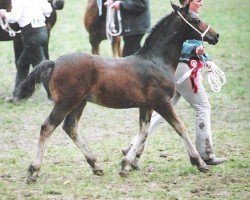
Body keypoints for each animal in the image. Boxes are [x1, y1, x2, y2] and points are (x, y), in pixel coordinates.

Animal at [16, 2, 219, 183]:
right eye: (196, 19)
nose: (215, 35)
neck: (156, 61)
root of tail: (55, 62)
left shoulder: (146, 105)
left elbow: (143, 132)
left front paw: (126, 165)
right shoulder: (161, 102)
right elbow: (180, 127)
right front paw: (199, 163)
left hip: (80, 102)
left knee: (70, 128)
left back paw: (96, 165)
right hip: (66, 102)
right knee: (47, 127)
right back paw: (34, 171)